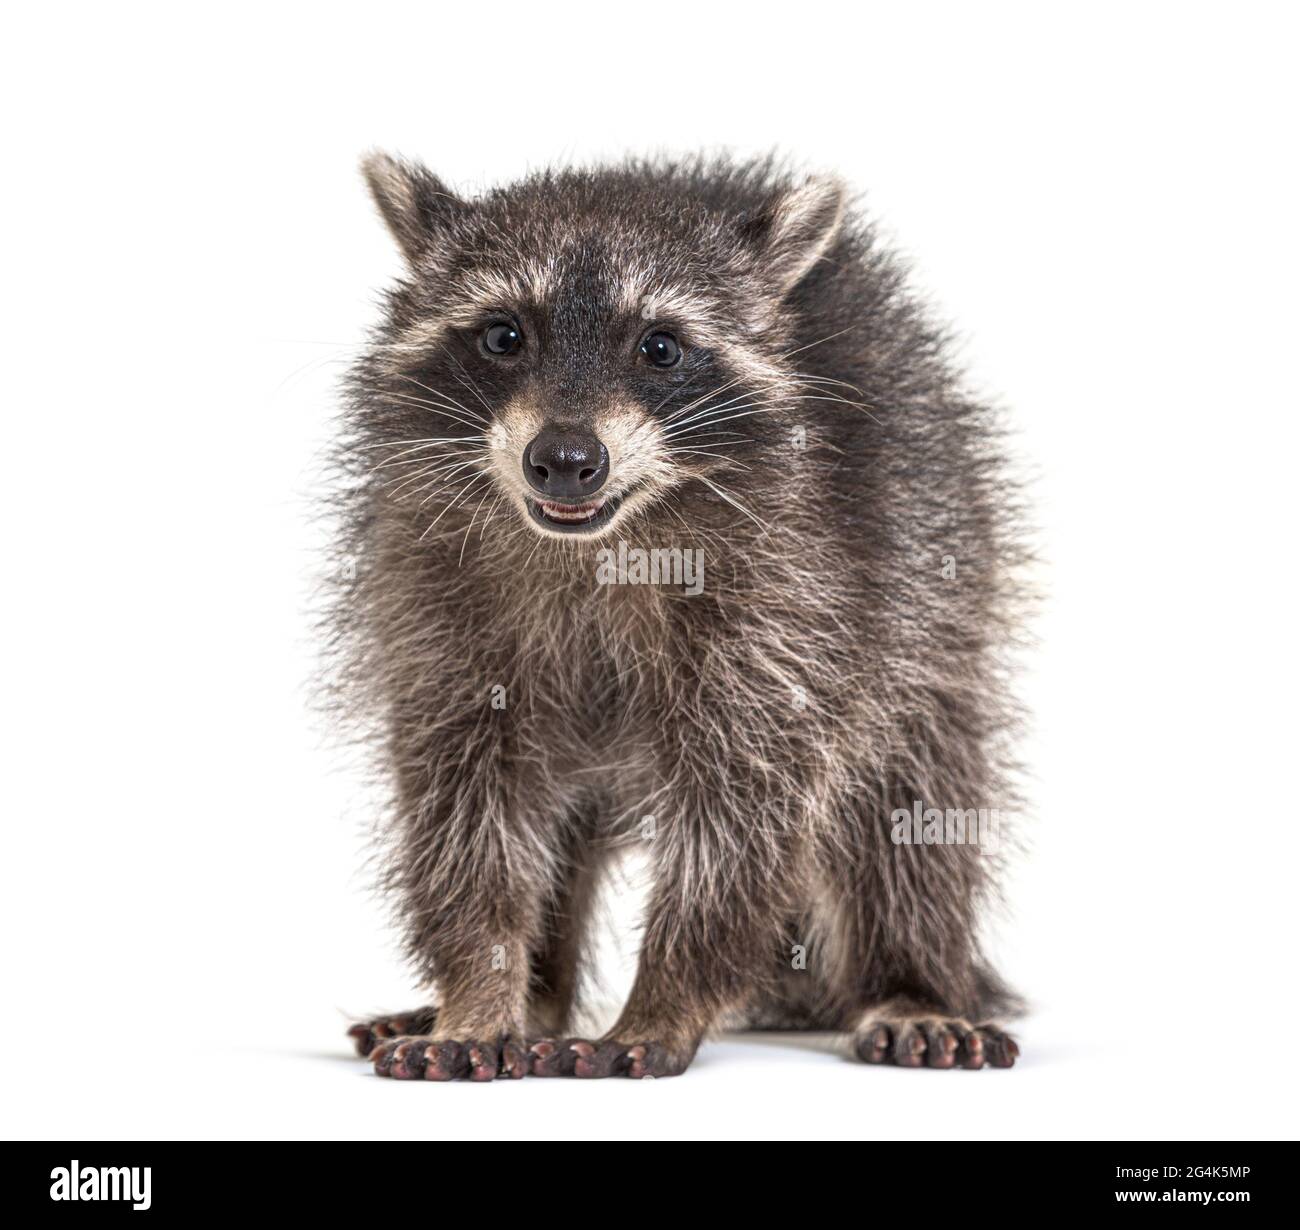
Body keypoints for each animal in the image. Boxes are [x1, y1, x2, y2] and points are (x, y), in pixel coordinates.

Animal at [332, 150, 1024, 1071]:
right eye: (504, 336)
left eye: (660, 347)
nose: (565, 459)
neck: (601, 542)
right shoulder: (430, 599)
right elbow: (465, 809)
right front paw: (480, 990)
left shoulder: (800, 601)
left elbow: (740, 816)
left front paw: (664, 998)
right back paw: (538, 999)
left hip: (935, 591)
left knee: (909, 804)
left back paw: (910, 980)